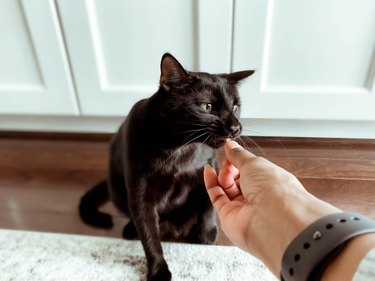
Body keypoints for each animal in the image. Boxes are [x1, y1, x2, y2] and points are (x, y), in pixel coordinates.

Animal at [79, 53, 256, 280]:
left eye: (235, 107)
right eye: (207, 106)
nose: (235, 127)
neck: (180, 148)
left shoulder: (208, 167)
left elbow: (208, 202)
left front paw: (206, 233)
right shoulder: (140, 194)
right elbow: (149, 236)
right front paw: (159, 271)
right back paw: (132, 230)